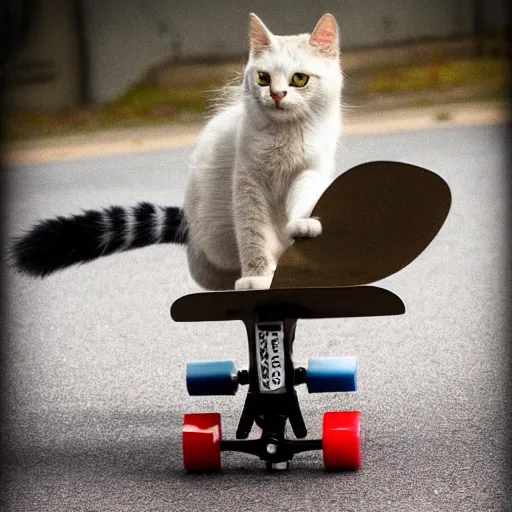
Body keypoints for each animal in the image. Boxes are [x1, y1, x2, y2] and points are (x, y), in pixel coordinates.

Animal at [10, 13, 342, 292]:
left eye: (299, 79)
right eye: (263, 77)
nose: (276, 94)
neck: (285, 137)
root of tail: (189, 227)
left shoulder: (310, 171)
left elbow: (302, 201)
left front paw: (302, 225)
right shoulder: (248, 185)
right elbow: (254, 236)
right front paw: (257, 277)